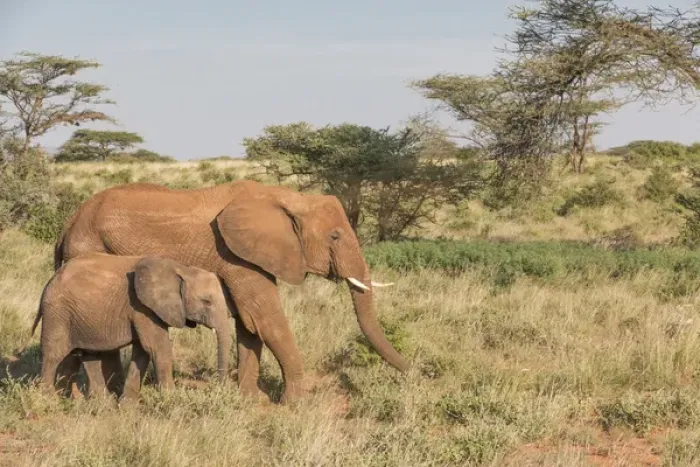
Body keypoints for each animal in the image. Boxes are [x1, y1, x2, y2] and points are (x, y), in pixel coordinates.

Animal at [30, 252, 232, 400]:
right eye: (206, 302)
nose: (218, 390)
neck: (182, 269)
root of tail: (50, 281)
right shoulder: (142, 307)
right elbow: (158, 349)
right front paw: (172, 400)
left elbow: (143, 352)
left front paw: (127, 407)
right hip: (58, 313)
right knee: (53, 355)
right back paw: (49, 400)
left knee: (89, 356)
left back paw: (99, 404)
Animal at [54, 179, 407, 403]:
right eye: (334, 236)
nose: (410, 372)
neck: (286, 198)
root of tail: (68, 223)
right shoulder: (236, 255)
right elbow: (265, 320)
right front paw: (299, 405)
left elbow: (249, 325)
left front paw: (251, 400)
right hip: (90, 247)